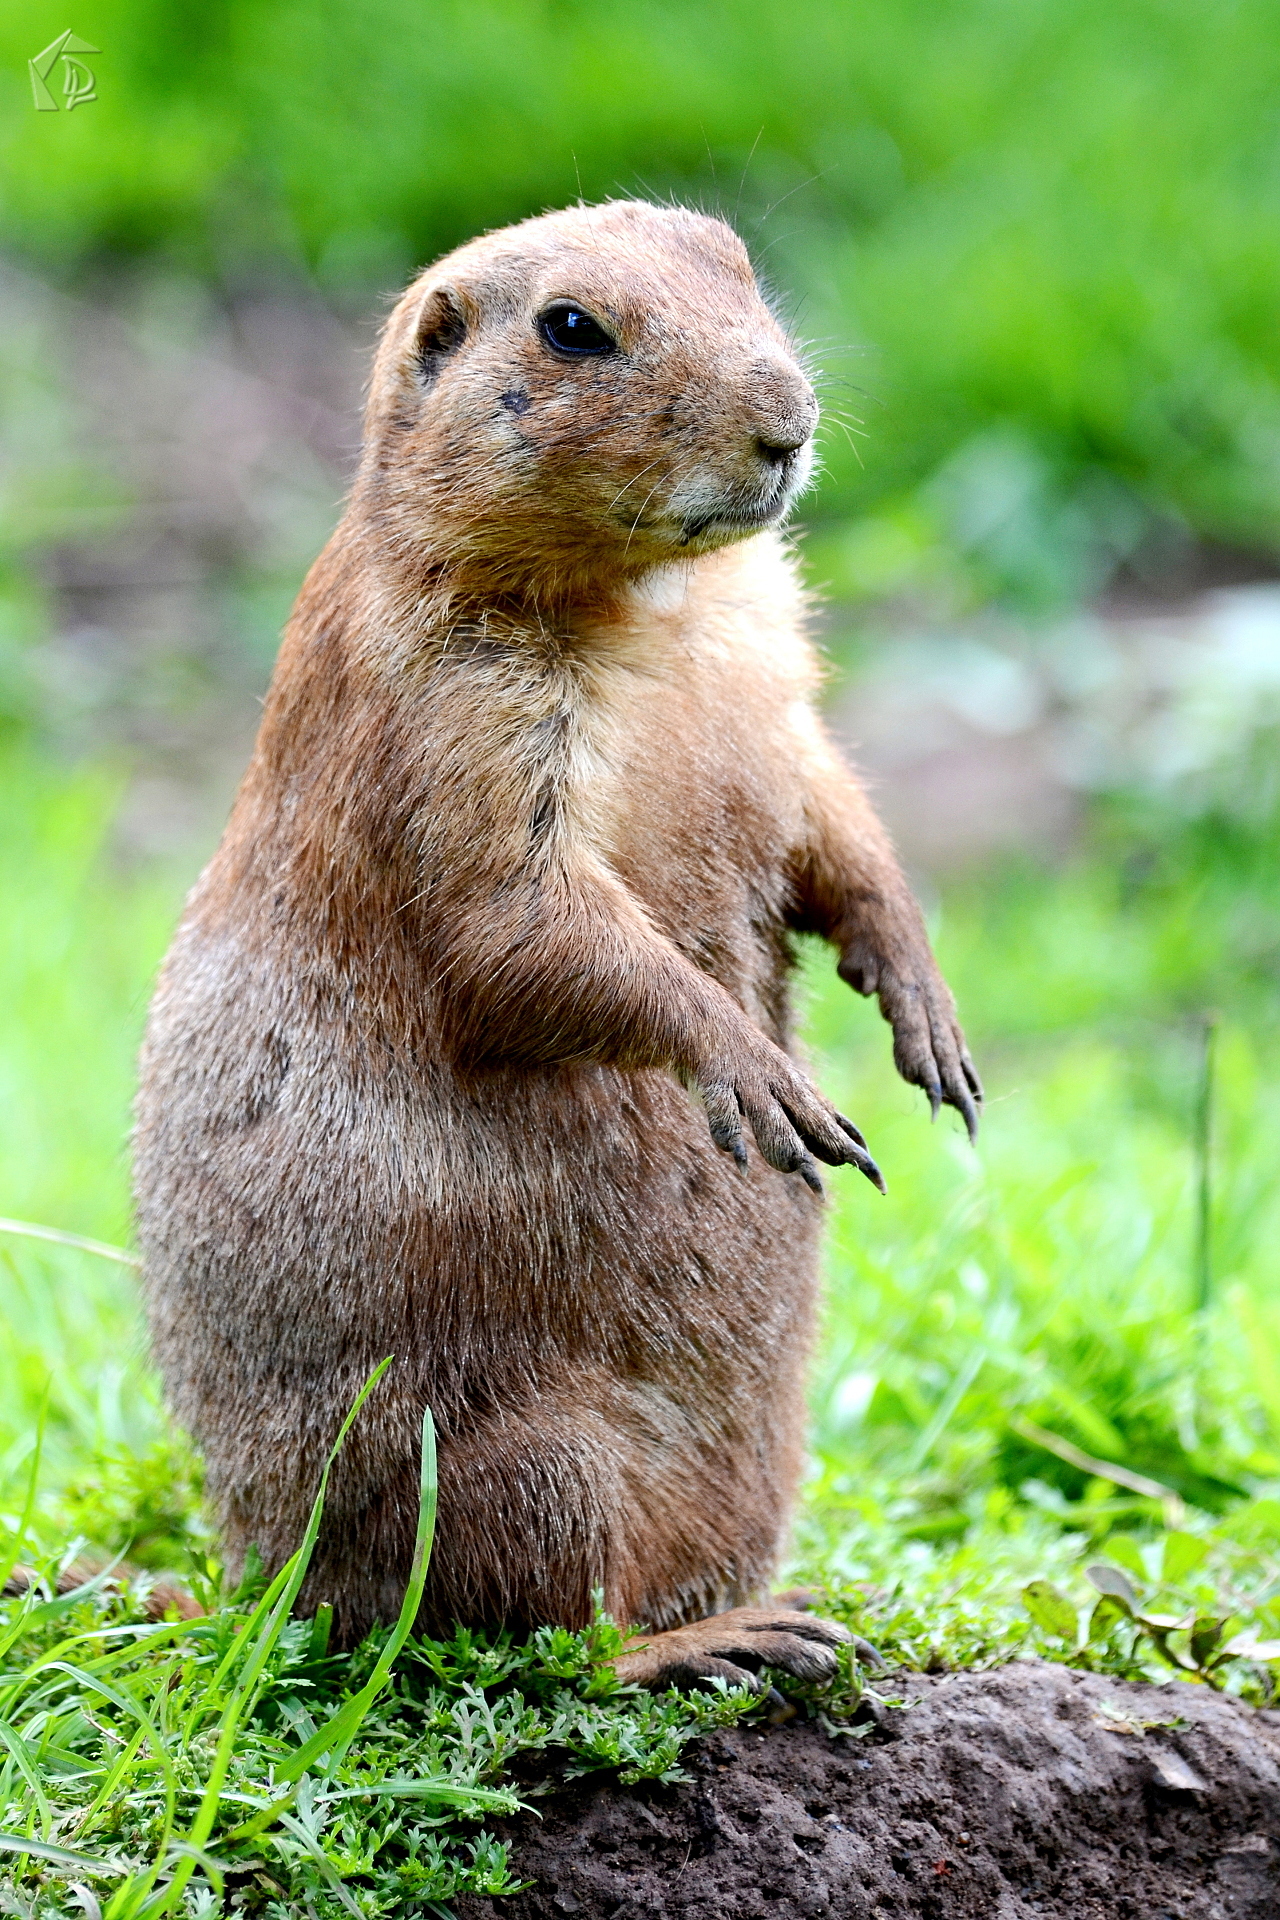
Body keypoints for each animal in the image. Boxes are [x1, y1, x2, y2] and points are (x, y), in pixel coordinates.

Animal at [133, 200, 980, 1690]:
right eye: (570, 328)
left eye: (735, 257)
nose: (788, 420)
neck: (662, 599)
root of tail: (265, 1586)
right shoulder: (448, 704)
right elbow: (523, 920)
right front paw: (770, 1085)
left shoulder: (774, 669)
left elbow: (831, 815)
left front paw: (928, 1023)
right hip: (531, 1461)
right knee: (530, 1635)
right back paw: (724, 1638)